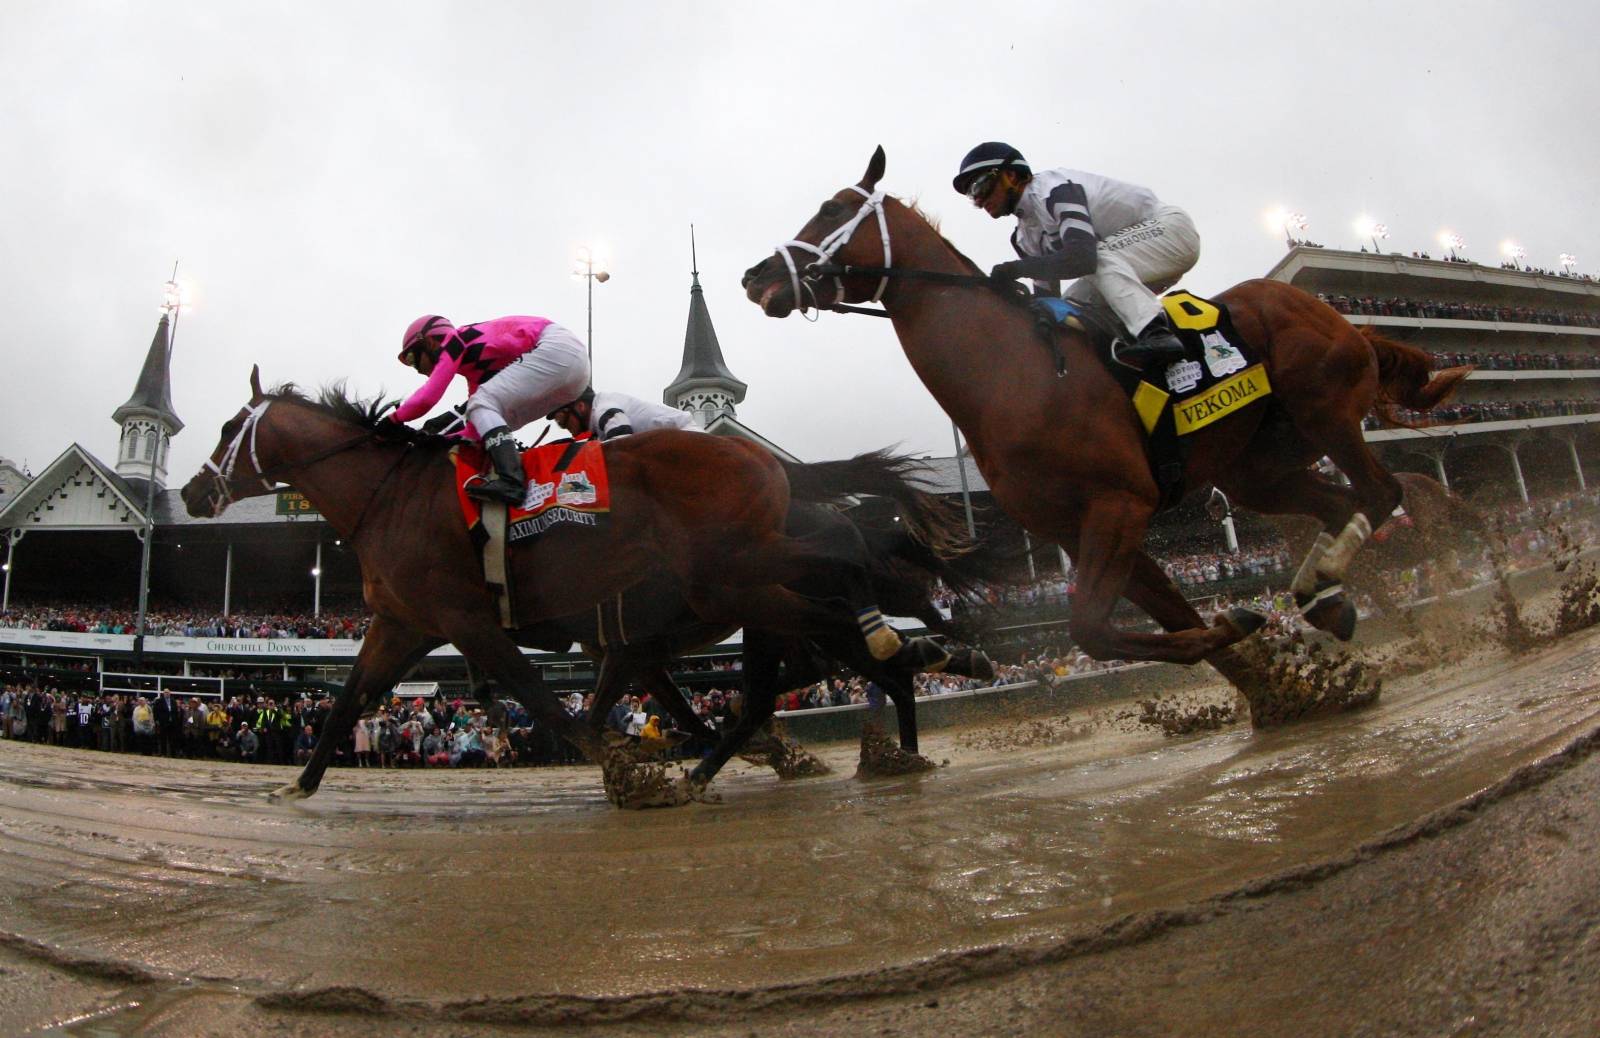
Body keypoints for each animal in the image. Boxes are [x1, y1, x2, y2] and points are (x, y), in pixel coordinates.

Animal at [187, 367, 953, 796]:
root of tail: (766, 461)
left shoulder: (471, 621)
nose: (195, 491)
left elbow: (550, 705)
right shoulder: (407, 622)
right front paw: (301, 783)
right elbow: (349, 698)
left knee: (836, 595)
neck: (391, 496)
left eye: (226, 427)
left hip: (734, 574)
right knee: (813, 644)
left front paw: (628, 772)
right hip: (742, 583)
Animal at [742, 147, 1465, 681]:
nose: (756, 278)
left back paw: (1329, 579)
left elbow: (1090, 629)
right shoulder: (1077, 525)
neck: (1016, 375)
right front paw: (1253, 658)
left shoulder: (1119, 504)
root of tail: (1328, 311)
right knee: (1341, 504)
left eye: (832, 208)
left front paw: (1242, 631)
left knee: (1382, 490)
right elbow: (1166, 619)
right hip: (1257, 469)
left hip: (1326, 413)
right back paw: (1323, 593)